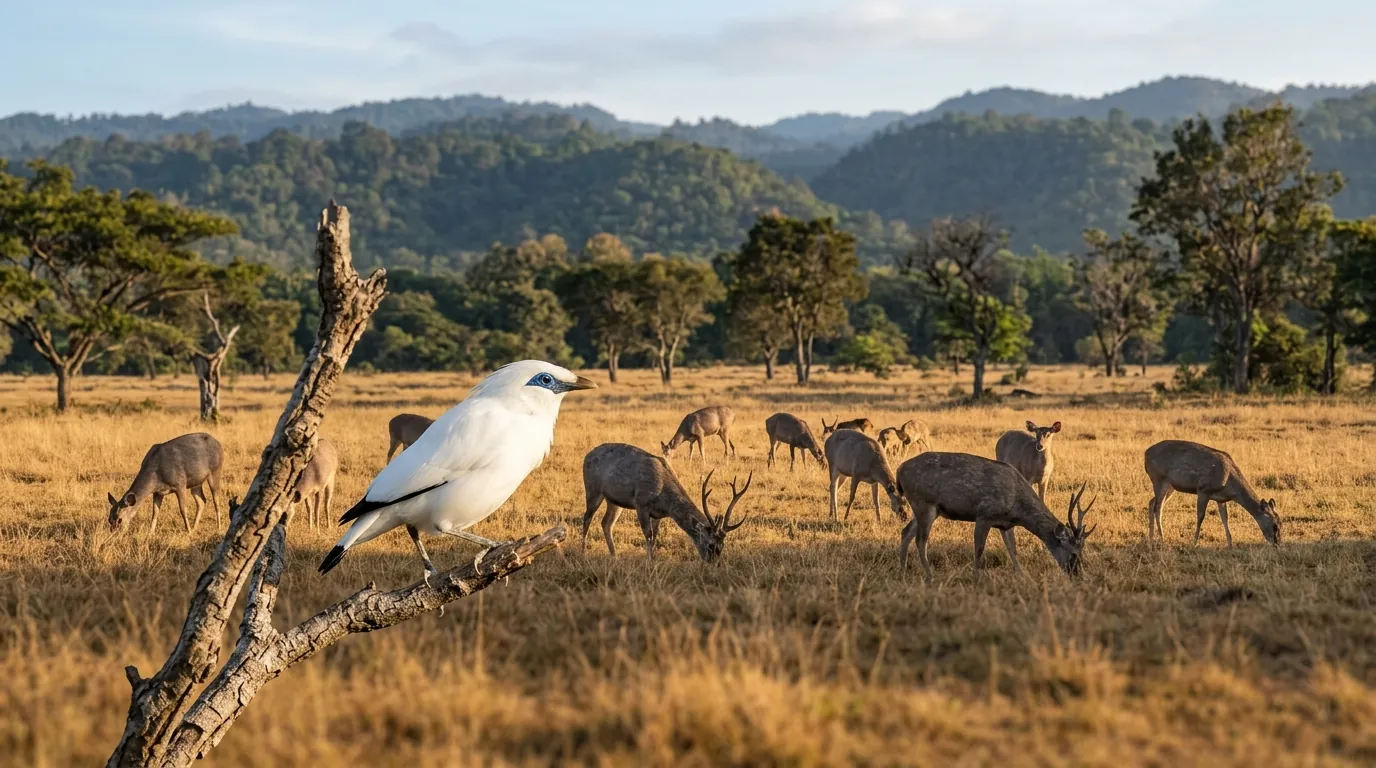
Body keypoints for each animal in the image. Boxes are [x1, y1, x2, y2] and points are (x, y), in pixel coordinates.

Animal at [581, 443, 751, 561]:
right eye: (710, 544)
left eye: (723, 545)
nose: (714, 562)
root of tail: (587, 455)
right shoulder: (641, 504)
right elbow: (648, 535)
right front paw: (649, 562)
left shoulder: (658, 515)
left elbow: (655, 537)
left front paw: (653, 560)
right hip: (592, 489)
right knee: (587, 518)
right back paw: (582, 553)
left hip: (614, 500)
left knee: (606, 523)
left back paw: (614, 556)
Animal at [895, 451, 1096, 583]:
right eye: (1074, 554)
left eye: (1082, 552)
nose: (1078, 575)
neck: (1017, 505)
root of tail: (899, 470)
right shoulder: (985, 513)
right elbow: (979, 548)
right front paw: (976, 577)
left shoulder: (1005, 524)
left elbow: (1012, 549)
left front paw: (1022, 575)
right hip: (924, 502)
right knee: (920, 540)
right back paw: (929, 576)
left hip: (925, 508)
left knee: (906, 532)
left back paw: (903, 572)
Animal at [1144, 440, 1281, 547]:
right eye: (1275, 525)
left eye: (1281, 523)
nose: (1277, 543)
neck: (1229, 484)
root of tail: (1146, 454)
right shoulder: (1203, 490)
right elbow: (1200, 517)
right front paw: (1194, 543)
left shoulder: (1221, 499)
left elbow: (1225, 519)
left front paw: (1230, 544)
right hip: (1159, 478)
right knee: (1158, 508)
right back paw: (1162, 539)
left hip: (1171, 486)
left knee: (1152, 503)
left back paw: (1151, 539)